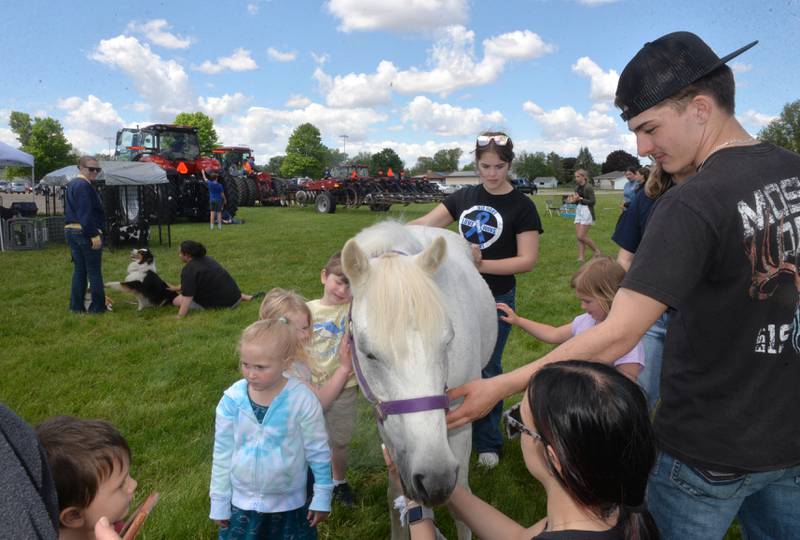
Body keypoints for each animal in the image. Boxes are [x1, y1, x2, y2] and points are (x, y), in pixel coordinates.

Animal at [342, 220, 496, 540]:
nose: (436, 478)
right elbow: (397, 497)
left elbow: (463, 503)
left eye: (447, 341)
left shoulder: (460, 422)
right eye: (368, 353)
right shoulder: (387, 426)